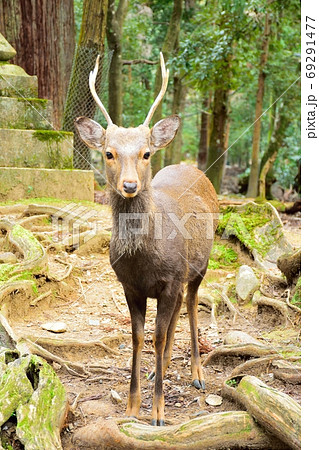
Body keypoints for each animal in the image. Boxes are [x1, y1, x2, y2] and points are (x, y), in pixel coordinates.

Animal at [75, 52, 220, 426]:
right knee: (174, 317)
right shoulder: (130, 285)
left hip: (199, 267)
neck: (144, 261)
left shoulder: (170, 279)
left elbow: (158, 335)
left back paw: (197, 373)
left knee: (191, 306)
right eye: (109, 153)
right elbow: (140, 338)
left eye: (146, 154)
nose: (129, 185)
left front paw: (157, 411)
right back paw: (162, 369)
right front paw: (131, 406)